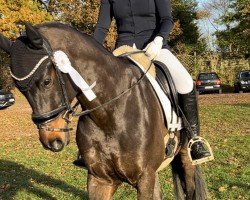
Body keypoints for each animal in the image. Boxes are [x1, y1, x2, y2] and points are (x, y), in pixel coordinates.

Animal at [0, 22, 207, 199]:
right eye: (20, 89)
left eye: (46, 81)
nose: (52, 140)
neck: (110, 114)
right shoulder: (99, 180)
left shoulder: (145, 178)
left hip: (185, 159)